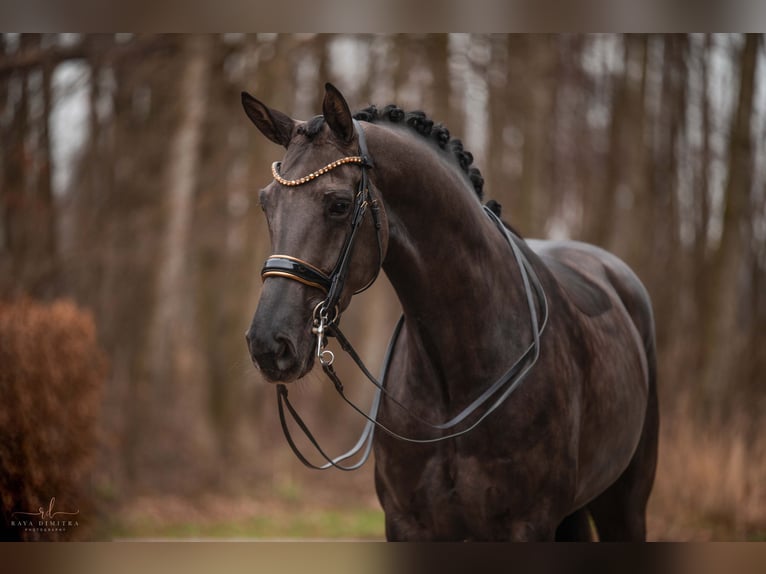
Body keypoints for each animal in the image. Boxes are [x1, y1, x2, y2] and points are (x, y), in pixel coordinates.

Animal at [242, 83, 660, 544]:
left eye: (338, 204)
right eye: (266, 204)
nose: (268, 344)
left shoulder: (527, 525)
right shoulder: (407, 525)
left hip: (624, 503)